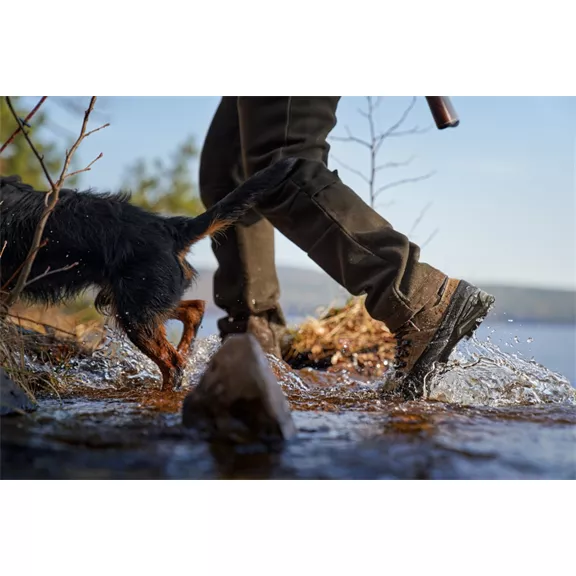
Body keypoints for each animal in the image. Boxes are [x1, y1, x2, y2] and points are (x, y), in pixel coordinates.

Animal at [0, 160, 296, 390]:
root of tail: (172, 229)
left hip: (136, 312)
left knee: (172, 364)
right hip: (140, 302)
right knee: (194, 310)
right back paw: (185, 352)